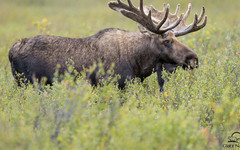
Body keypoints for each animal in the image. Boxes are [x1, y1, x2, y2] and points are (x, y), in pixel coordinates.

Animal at [7, 0, 206, 91]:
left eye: (175, 37)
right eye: (166, 41)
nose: (193, 58)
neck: (139, 62)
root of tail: (11, 51)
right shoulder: (113, 83)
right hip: (27, 83)